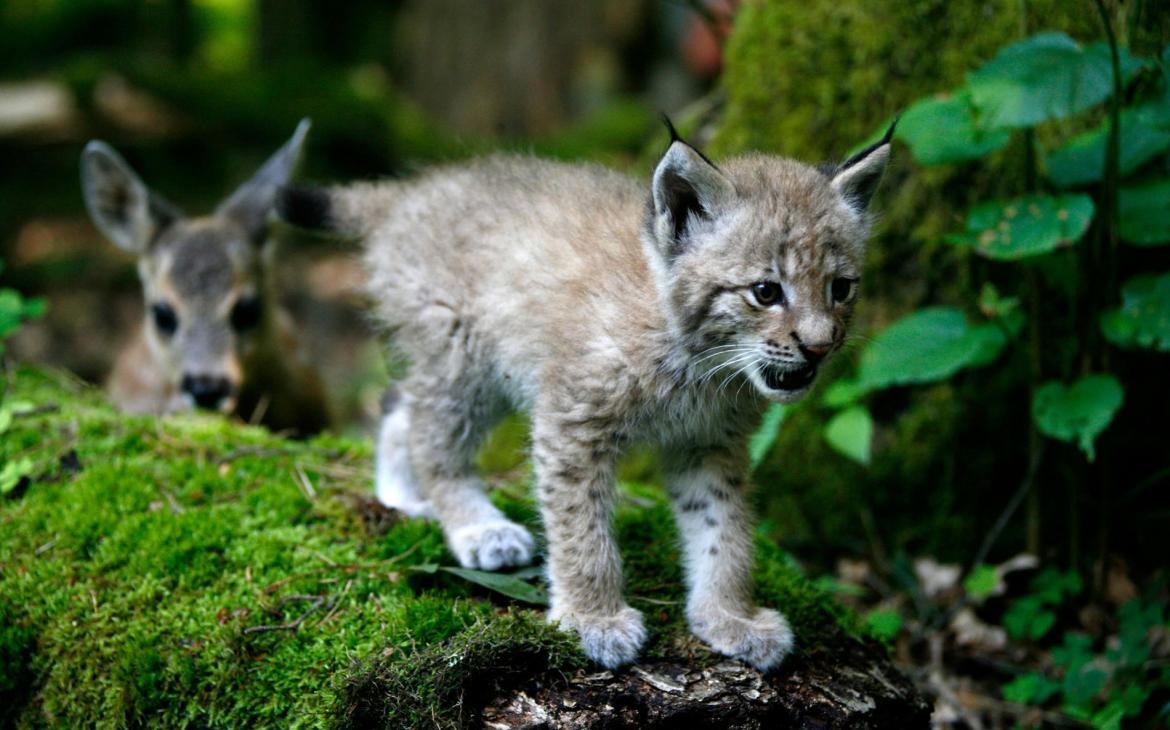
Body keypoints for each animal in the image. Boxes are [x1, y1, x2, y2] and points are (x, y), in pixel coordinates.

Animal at [278, 121, 889, 673]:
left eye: (841, 289)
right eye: (765, 292)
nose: (819, 347)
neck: (701, 364)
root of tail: (413, 192)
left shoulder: (709, 444)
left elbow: (724, 530)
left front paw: (729, 616)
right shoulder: (573, 421)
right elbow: (582, 530)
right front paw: (592, 619)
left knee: (399, 404)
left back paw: (401, 496)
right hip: (463, 356)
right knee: (434, 438)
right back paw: (477, 527)